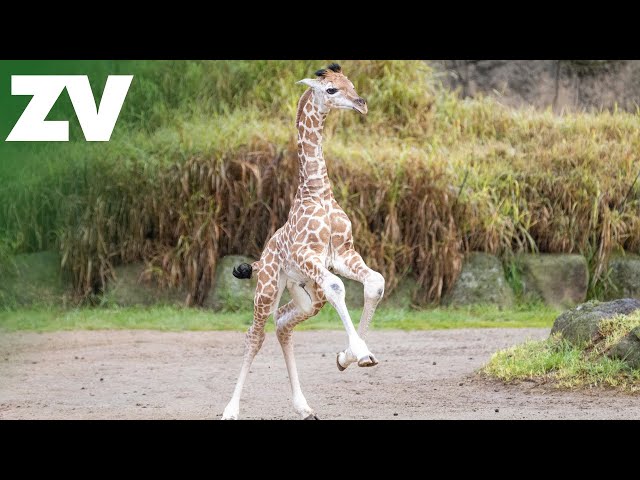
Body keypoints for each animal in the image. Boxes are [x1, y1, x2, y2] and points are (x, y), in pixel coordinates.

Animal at [221, 63, 385, 420]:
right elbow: (339, 286)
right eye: (331, 90)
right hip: (269, 286)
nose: (362, 104)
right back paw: (230, 409)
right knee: (255, 335)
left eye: (351, 84)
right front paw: (360, 352)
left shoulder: (343, 253)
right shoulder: (307, 255)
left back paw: (303, 406)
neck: (317, 191)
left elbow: (376, 283)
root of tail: (260, 259)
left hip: (309, 296)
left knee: (284, 323)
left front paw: (348, 356)